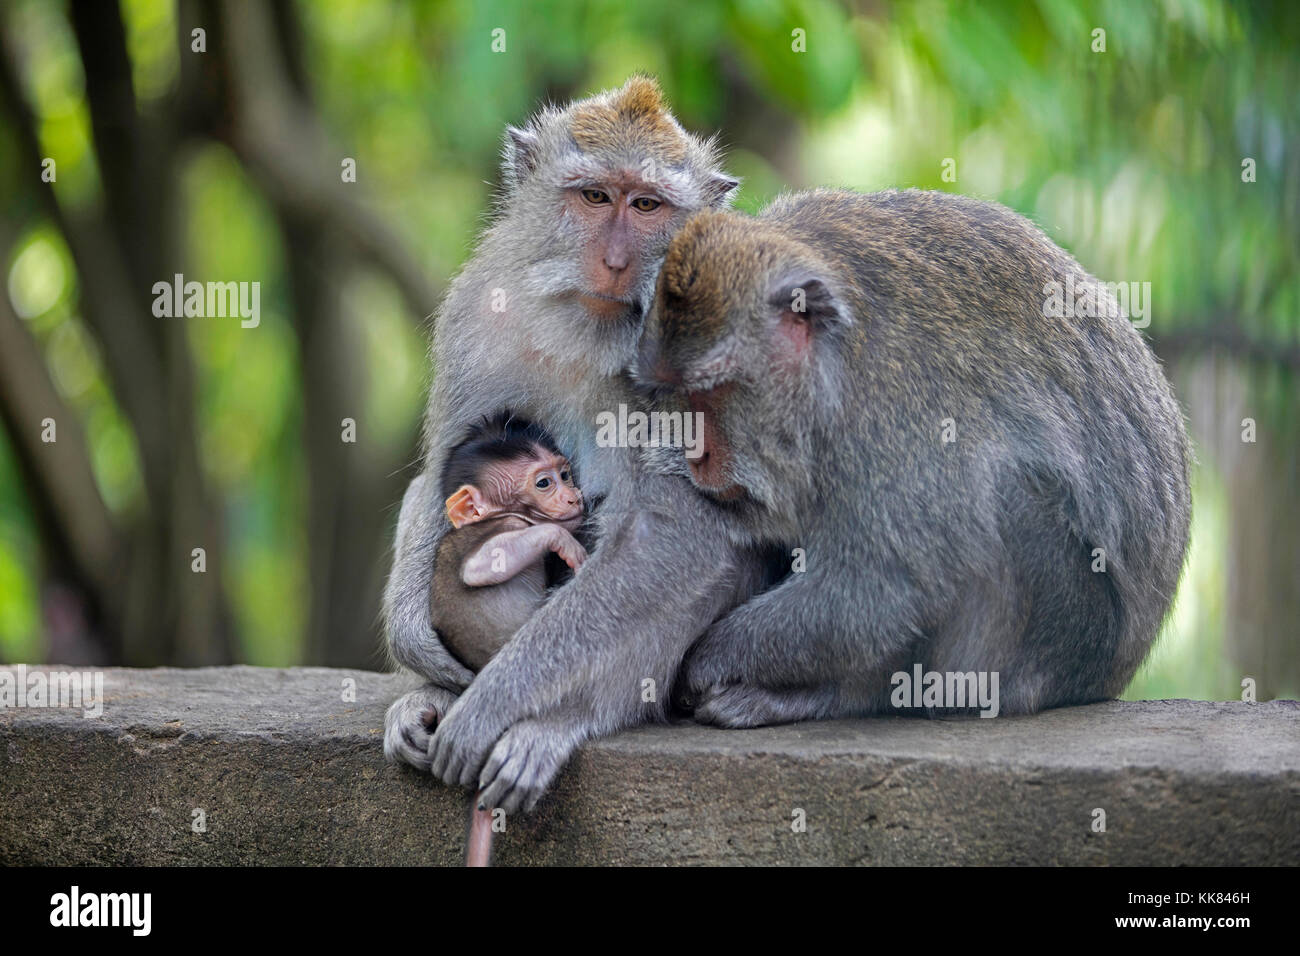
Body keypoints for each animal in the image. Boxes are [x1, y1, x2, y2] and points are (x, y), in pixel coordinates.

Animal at [428, 413, 587, 671]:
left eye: (565, 475)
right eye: (544, 483)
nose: (573, 498)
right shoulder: (511, 523)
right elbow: (478, 567)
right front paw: (562, 539)